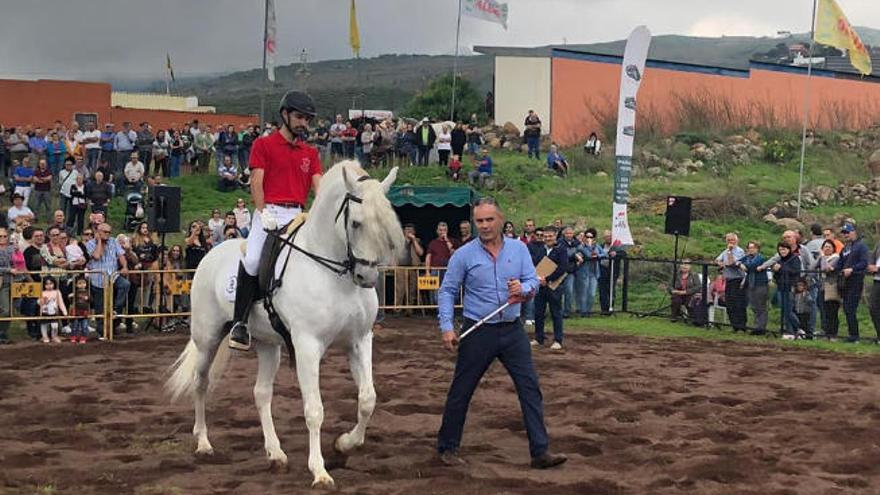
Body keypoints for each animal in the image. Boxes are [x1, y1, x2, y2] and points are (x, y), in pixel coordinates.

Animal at [166, 160, 406, 488]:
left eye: (386, 222)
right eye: (356, 223)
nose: (367, 277)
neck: (333, 272)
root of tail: (210, 254)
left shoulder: (359, 340)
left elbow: (368, 399)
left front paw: (344, 444)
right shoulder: (307, 346)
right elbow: (315, 410)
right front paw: (319, 471)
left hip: (269, 346)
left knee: (261, 393)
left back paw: (275, 453)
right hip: (207, 339)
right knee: (200, 383)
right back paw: (203, 443)